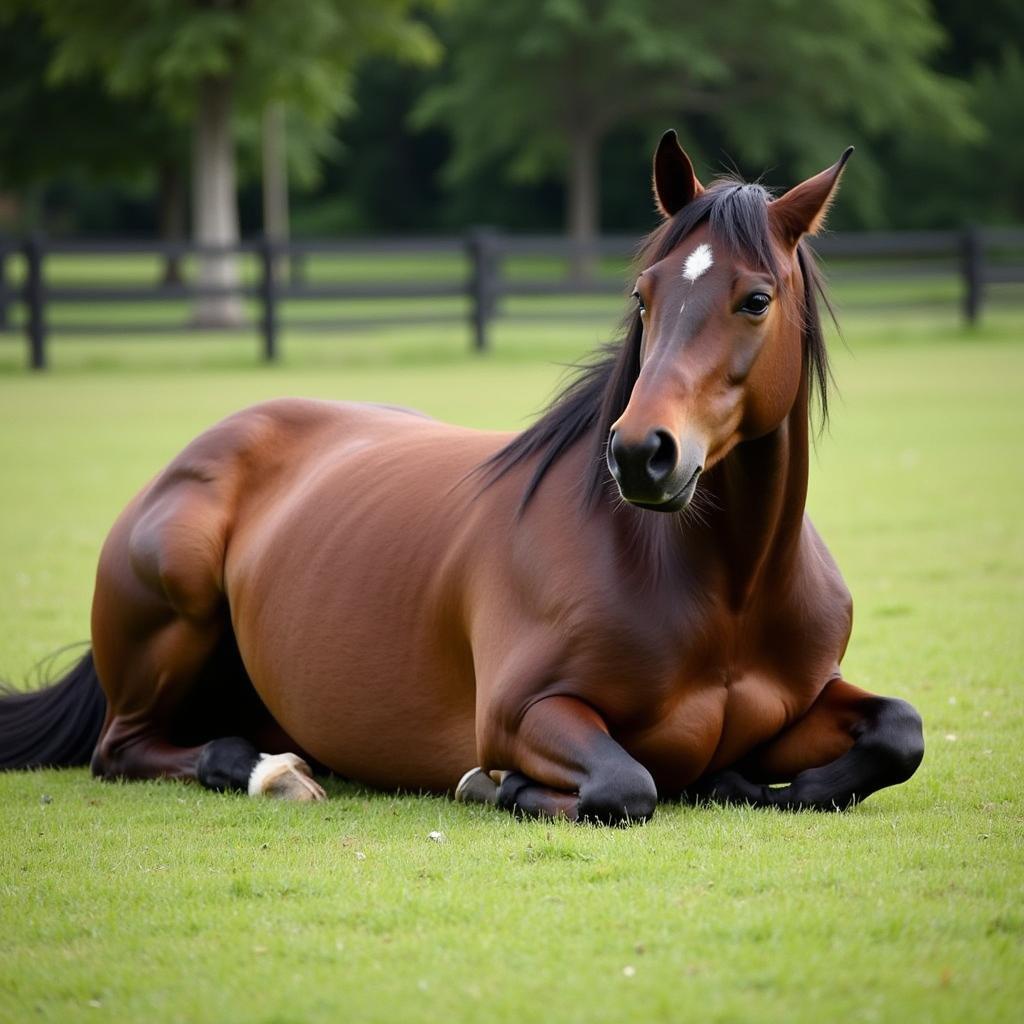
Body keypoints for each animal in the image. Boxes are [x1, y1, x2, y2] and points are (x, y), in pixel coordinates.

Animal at [0, 134, 925, 823]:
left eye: (756, 299)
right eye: (645, 293)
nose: (640, 454)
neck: (724, 589)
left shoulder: (802, 707)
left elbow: (901, 733)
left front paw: (750, 782)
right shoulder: (525, 712)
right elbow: (625, 785)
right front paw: (497, 784)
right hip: (177, 612)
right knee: (125, 749)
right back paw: (275, 773)